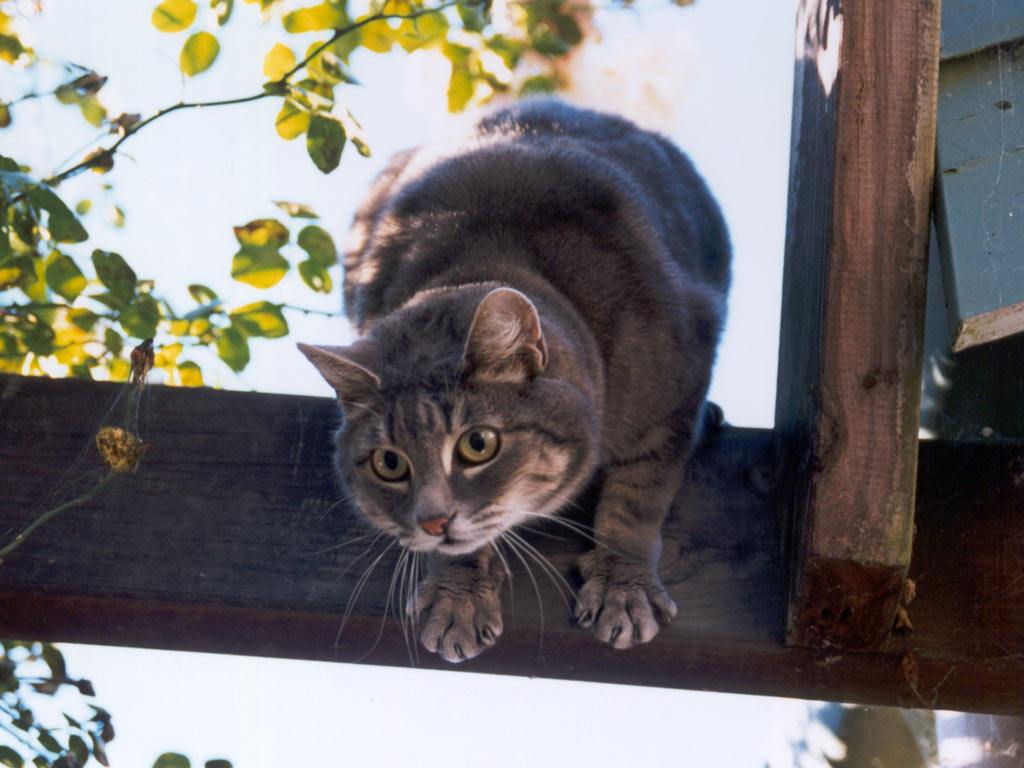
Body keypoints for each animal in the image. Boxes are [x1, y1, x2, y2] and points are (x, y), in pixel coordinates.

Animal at [299, 97, 733, 663]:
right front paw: (458, 597)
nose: (433, 522)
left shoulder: (676, 388)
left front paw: (623, 585)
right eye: (389, 463)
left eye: (477, 444)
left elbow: (639, 494)